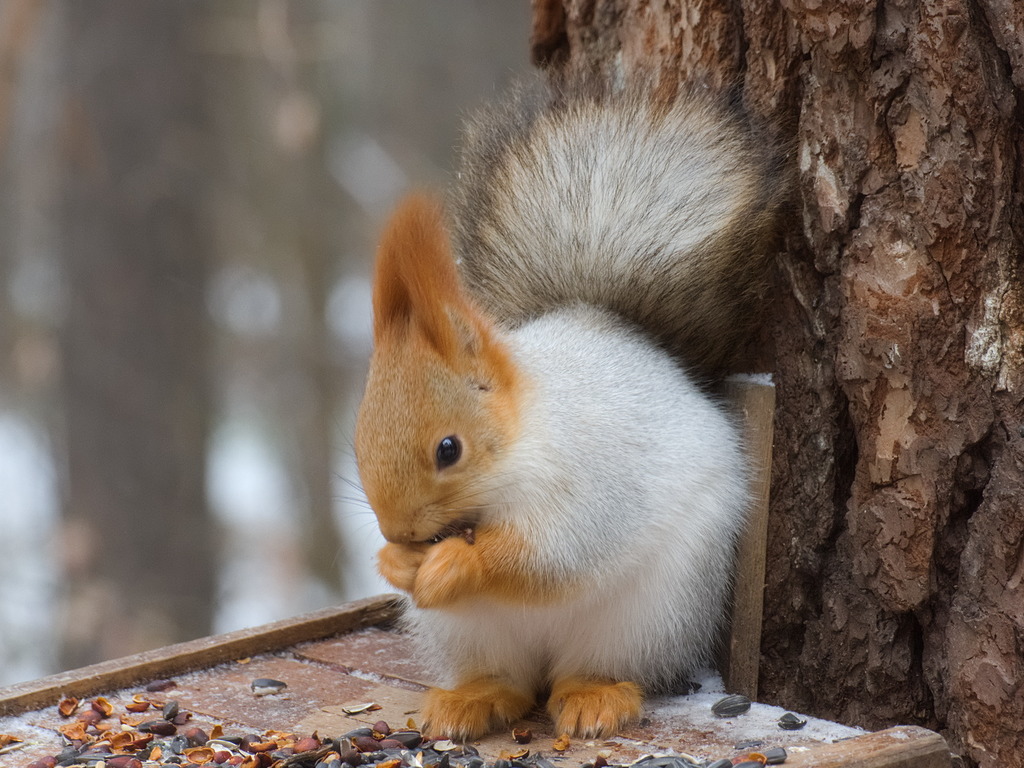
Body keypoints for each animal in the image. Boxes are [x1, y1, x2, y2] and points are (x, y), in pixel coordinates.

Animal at [352, 75, 782, 741]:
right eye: (357, 439)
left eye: (449, 449)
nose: (399, 532)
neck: (515, 450)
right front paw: (395, 563)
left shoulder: (591, 483)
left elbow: (550, 558)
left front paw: (456, 565)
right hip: (470, 633)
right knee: (505, 680)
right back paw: (470, 700)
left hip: (646, 614)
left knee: (594, 667)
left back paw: (594, 697)